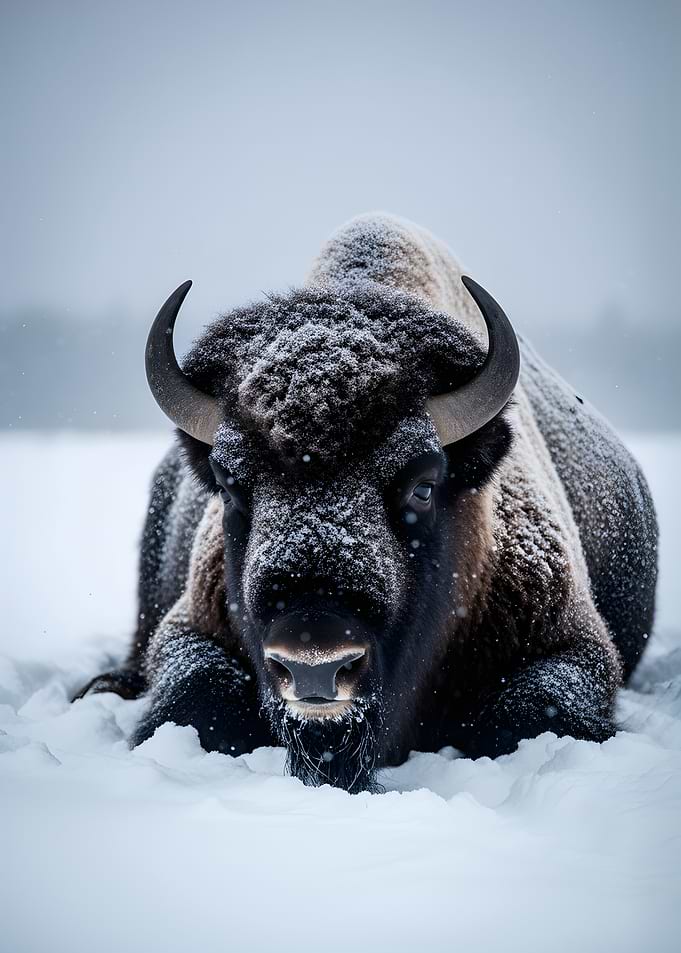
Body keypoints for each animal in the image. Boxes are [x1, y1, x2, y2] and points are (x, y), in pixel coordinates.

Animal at [76, 214, 658, 793]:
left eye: (423, 485)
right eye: (229, 483)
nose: (314, 661)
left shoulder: (571, 642)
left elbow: (531, 713)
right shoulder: (190, 626)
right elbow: (191, 702)